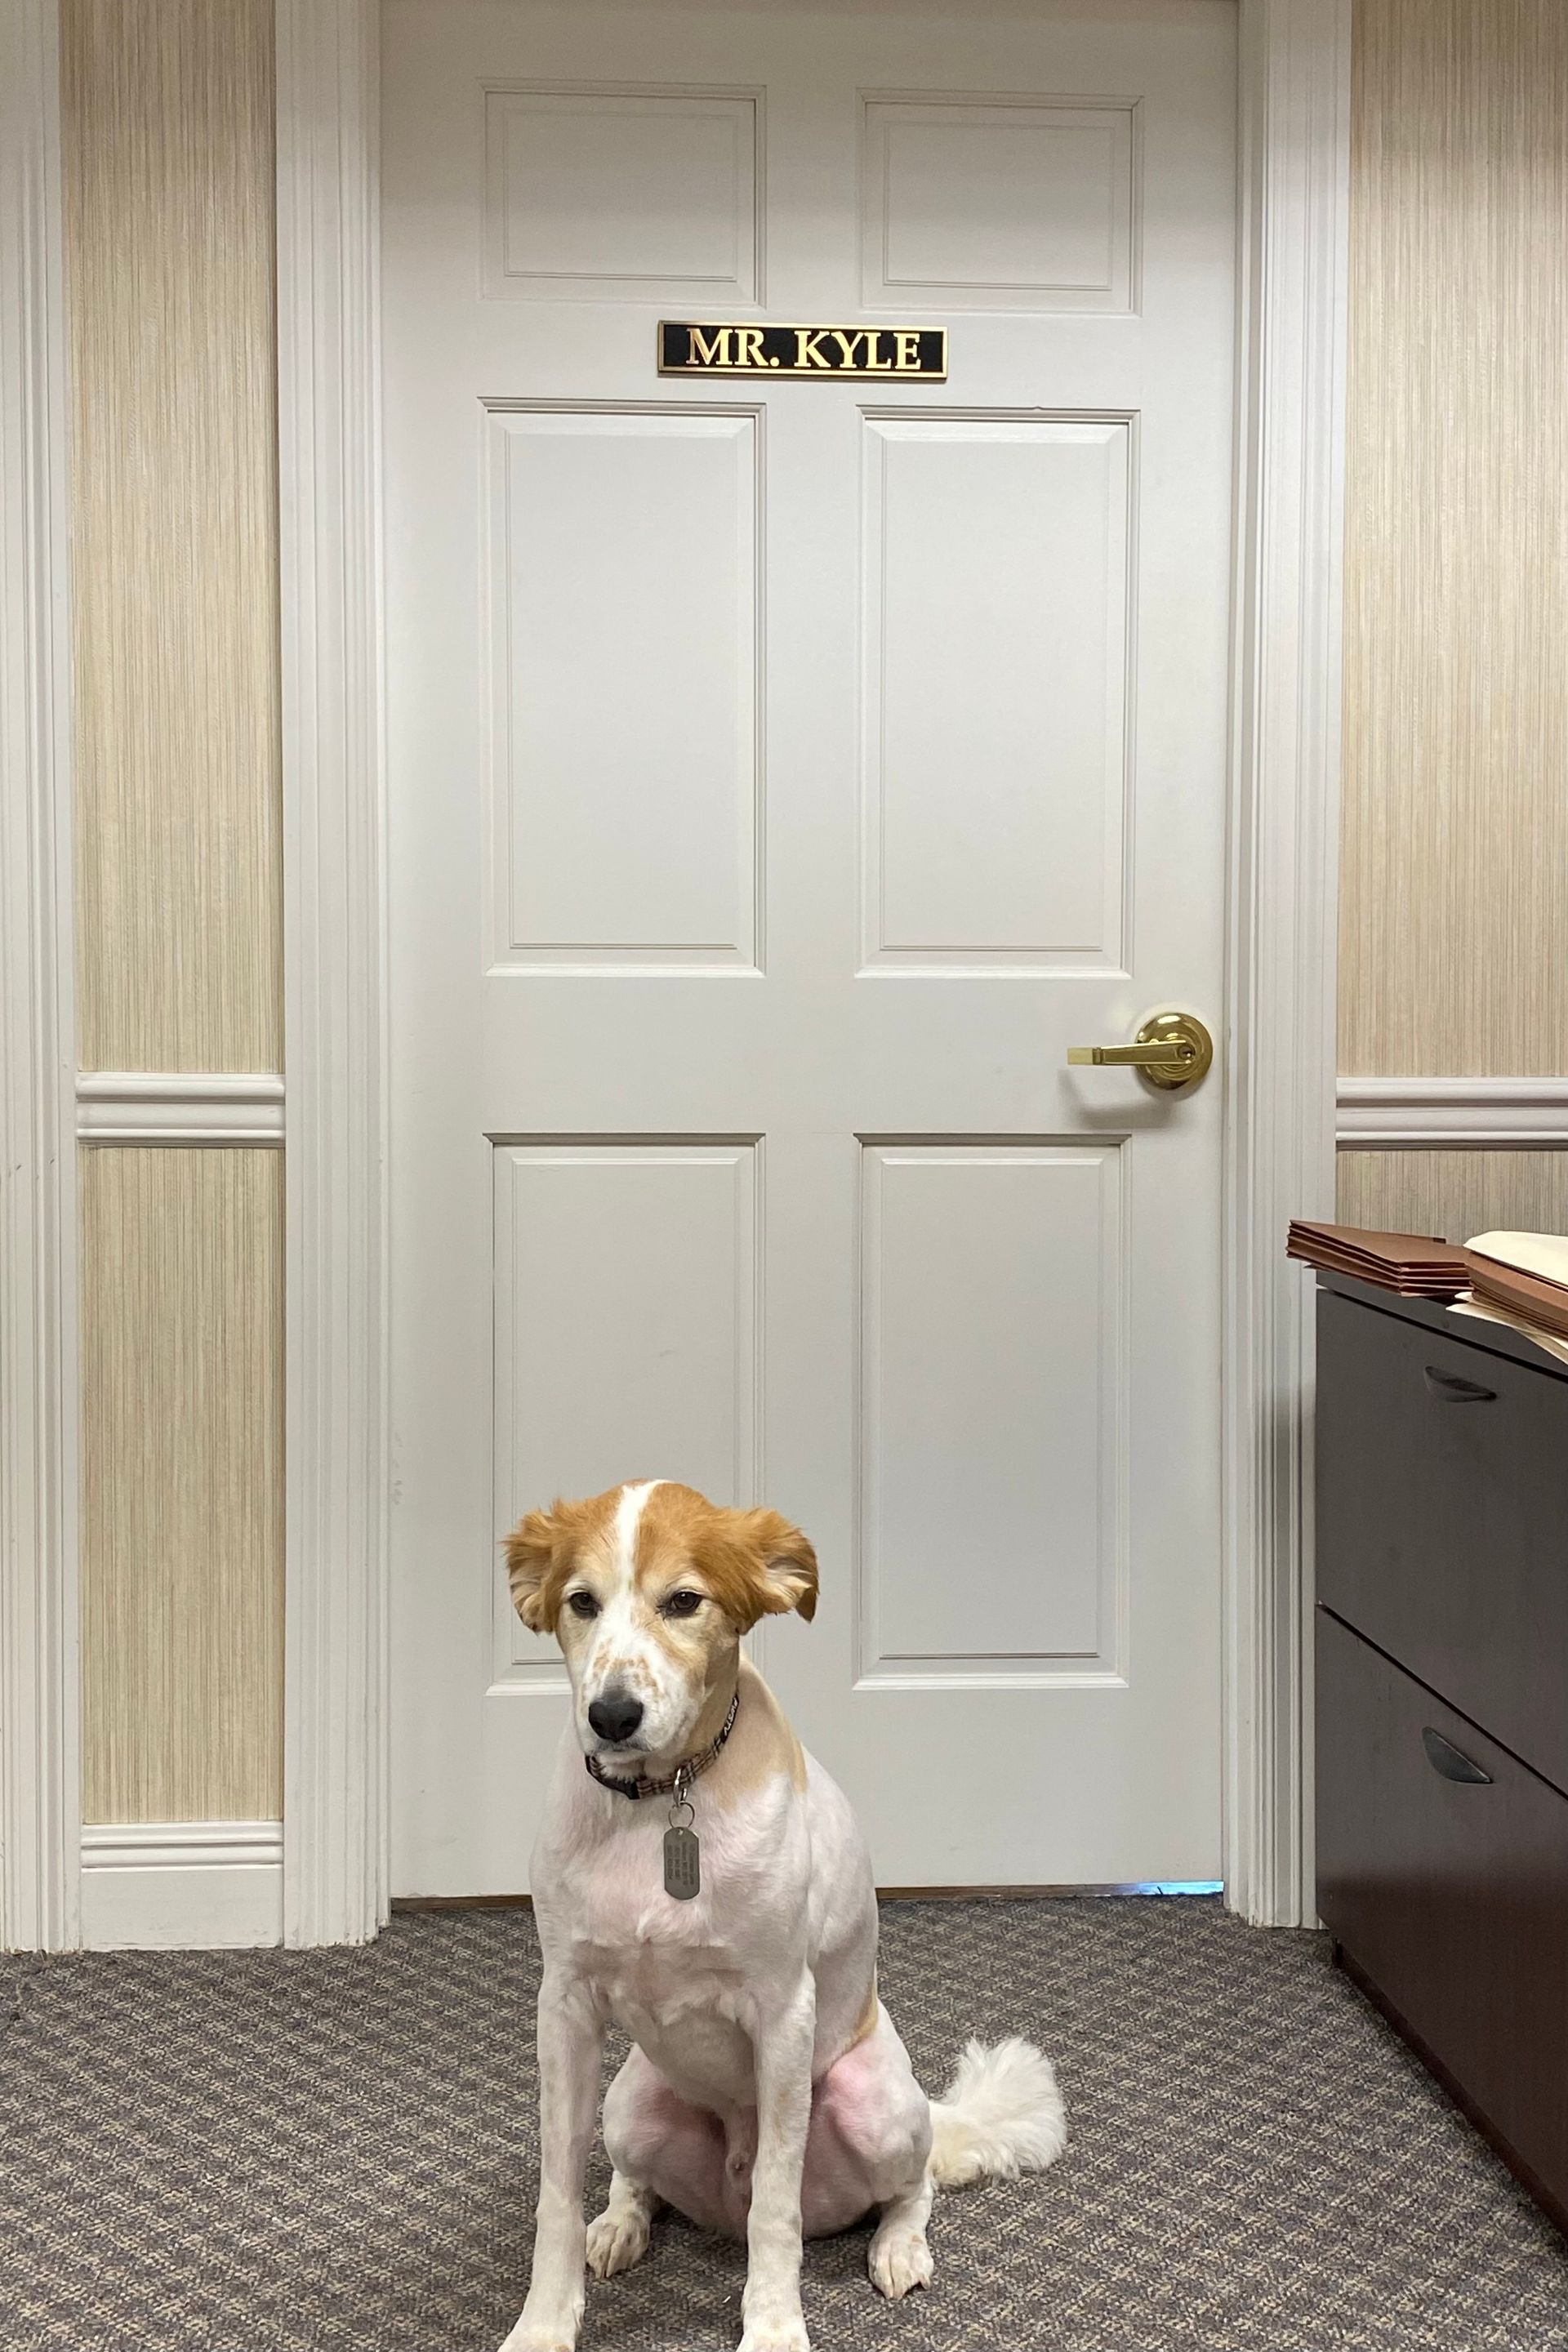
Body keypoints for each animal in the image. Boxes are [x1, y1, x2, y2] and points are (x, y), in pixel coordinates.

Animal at [503, 1477, 1067, 2342]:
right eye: (581, 1602)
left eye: (684, 1601)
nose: (612, 1716)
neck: (656, 1806)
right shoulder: (564, 2006)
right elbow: (557, 2194)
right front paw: (542, 2328)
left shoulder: (781, 2011)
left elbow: (776, 2203)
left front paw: (772, 2329)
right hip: (632, 2102)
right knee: (635, 2182)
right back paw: (620, 2226)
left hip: (875, 2105)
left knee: (910, 2186)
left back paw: (899, 2247)